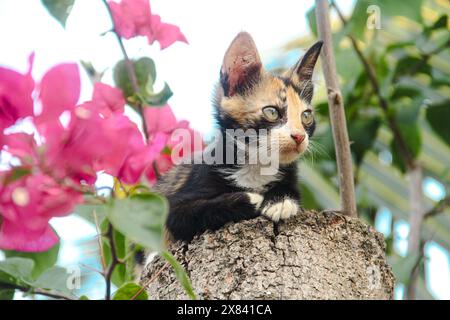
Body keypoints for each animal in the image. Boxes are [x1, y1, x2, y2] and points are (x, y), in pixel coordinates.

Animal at [156, 33, 324, 242]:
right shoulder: (176, 206)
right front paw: (255, 199)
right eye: (272, 112)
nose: (299, 136)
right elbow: (191, 211)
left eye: (306, 116)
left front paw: (281, 201)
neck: (256, 165)